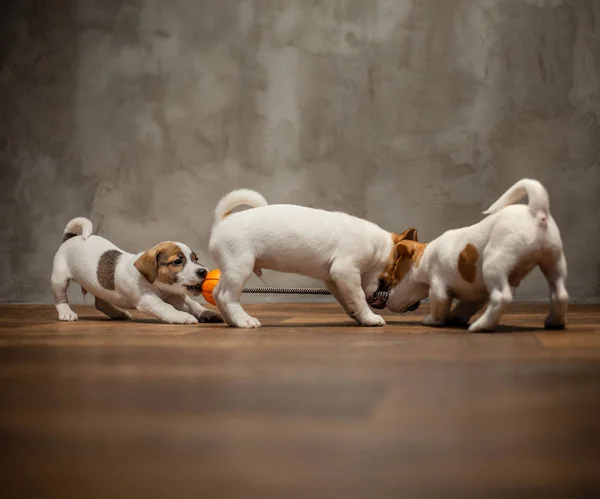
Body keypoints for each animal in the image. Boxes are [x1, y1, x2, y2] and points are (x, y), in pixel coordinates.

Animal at [51, 217, 223, 326]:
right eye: (177, 262)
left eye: (196, 258)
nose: (203, 271)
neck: (157, 284)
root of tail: (71, 237)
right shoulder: (148, 299)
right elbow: (166, 307)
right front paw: (182, 316)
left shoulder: (176, 296)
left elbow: (193, 304)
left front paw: (207, 313)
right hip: (59, 279)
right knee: (60, 298)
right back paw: (66, 313)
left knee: (100, 302)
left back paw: (117, 312)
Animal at [206, 188, 418, 328]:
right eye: (389, 279)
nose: (413, 306)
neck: (378, 247)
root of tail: (223, 219)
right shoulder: (346, 271)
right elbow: (358, 297)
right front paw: (369, 317)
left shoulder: (334, 279)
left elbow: (347, 299)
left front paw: (356, 315)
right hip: (240, 267)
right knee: (227, 296)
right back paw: (243, 320)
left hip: (229, 270)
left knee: (217, 293)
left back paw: (231, 321)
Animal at [382, 180, 568, 332]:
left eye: (393, 280)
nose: (387, 303)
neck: (425, 257)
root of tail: (535, 211)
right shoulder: (476, 294)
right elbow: (464, 308)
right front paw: (455, 318)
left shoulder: (438, 288)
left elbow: (439, 308)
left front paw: (433, 320)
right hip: (553, 262)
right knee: (559, 294)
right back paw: (554, 322)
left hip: (494, 265)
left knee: (502, 297)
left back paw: (481, 326)